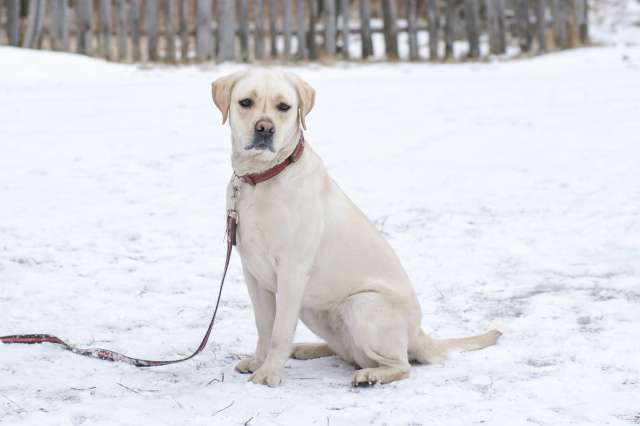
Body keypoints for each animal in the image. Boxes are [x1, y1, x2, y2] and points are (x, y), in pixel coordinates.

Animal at [210, 69, 500, 386]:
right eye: (245, 102)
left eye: (283, 107)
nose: (265, 128)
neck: (261, 178)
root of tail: (419, 335)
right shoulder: (253, 273)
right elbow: (264, 326)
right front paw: (258, 362)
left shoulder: (292, 271)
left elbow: (279, 332)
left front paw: (269, 373)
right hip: (314, 309)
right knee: (346, 352)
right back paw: (307, 349)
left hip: (361, 304)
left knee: (402, 365)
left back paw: (369, 375)